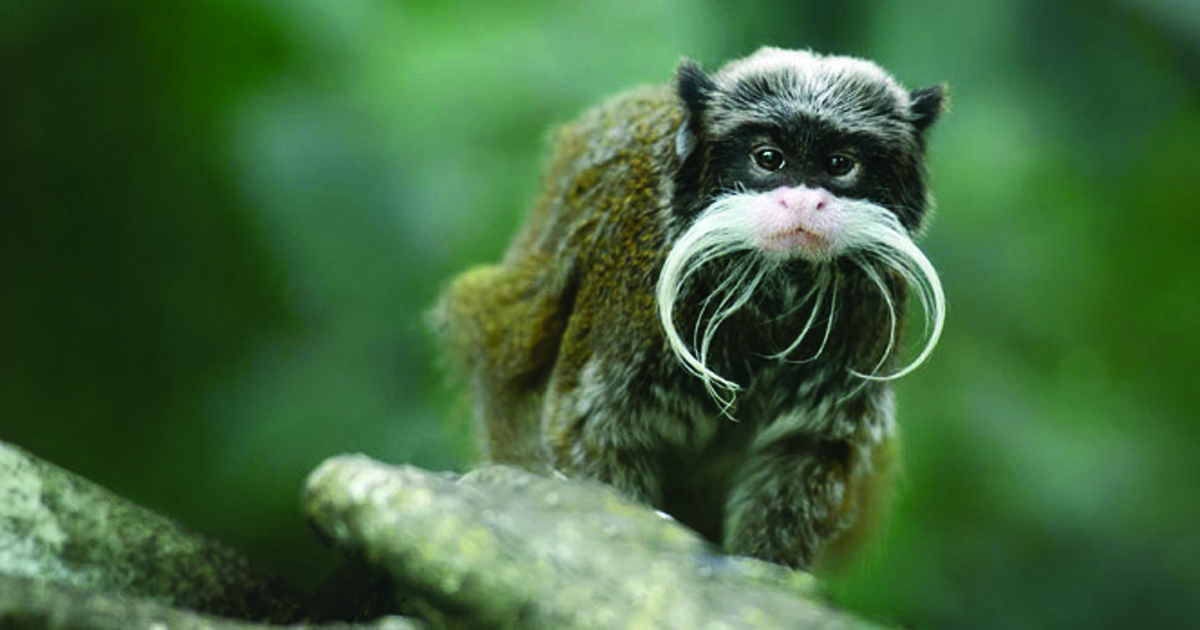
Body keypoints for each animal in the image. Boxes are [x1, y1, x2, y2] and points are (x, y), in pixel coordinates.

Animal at [432, 48, 945, 568]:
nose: (805, 203)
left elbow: (805, 453)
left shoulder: (864, 321)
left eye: (840, 164)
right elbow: (594, 429)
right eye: (769, 158)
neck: (775, 282)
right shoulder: (632, 282)